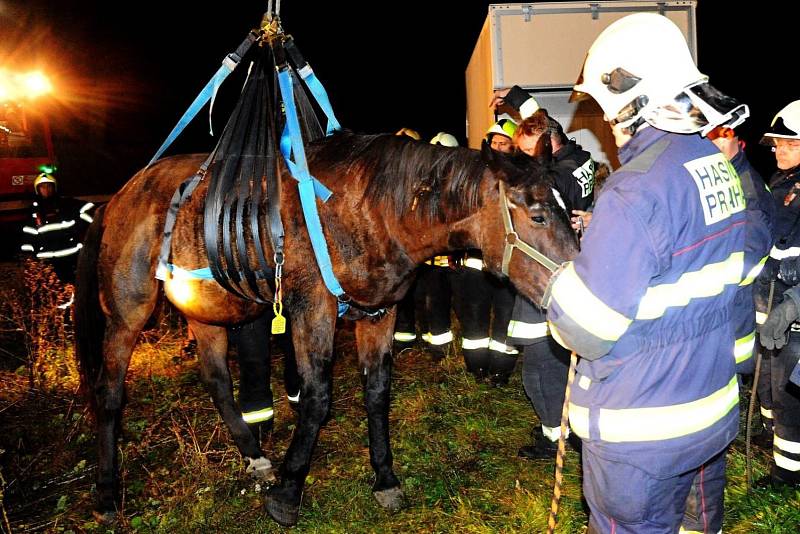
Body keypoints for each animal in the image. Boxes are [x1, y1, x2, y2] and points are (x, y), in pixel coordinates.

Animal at [73, 131, 576, 528]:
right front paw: (289, 491)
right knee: (109, 392)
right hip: (127, 314)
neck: (372, 208)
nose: (576, 280)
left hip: (208, 307)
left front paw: (384, 477)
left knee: (216, 381)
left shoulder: (380, 313)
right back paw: (106, 490)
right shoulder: (312, 311)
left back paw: (254, 454)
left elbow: (377, 393)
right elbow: (316, 399)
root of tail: (118, 198)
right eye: (537, 215)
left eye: (566, 208)